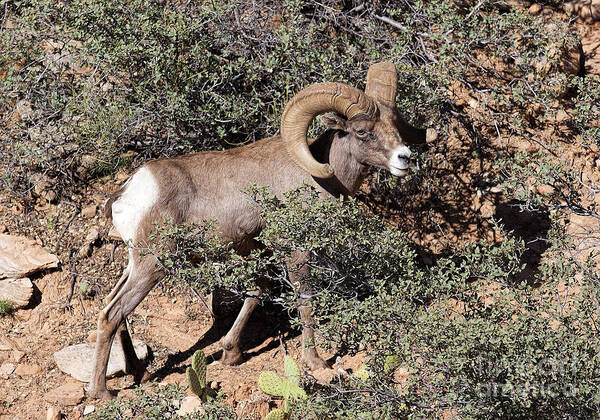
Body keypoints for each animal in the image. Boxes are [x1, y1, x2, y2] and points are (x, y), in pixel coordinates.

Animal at [89, 60, 436, 398]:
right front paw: (317, 363)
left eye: (395, 125)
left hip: (135, 265)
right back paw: (101, 393)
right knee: (111, 315)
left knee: (113, 307)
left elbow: (257, 293)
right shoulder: (296, 253)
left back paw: (137, 372)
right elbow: (304, 302)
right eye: (363, 132)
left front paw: (231, 354)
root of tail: (128, 193)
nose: (404, 158)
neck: (322, 176)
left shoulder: (259, 253)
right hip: (153, 265)